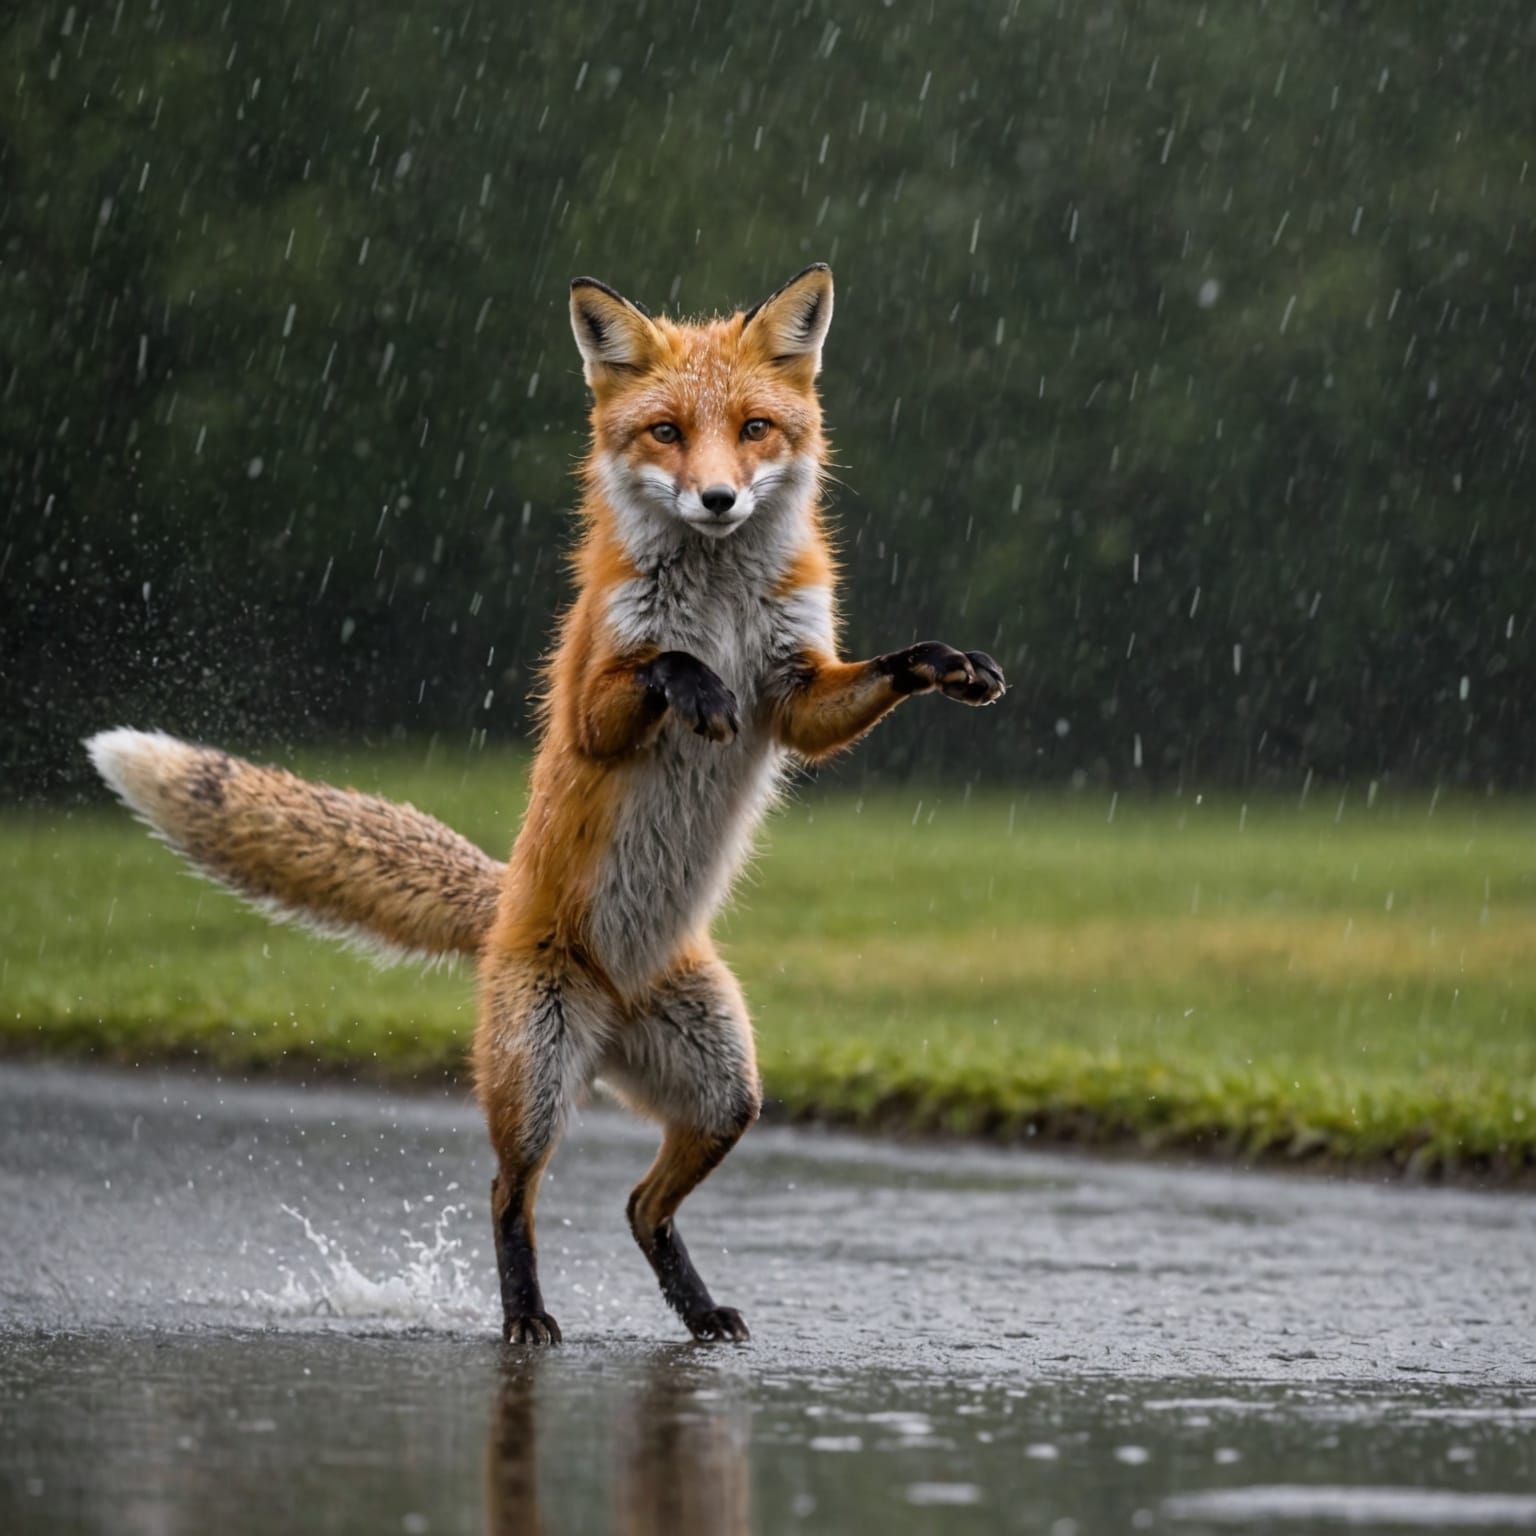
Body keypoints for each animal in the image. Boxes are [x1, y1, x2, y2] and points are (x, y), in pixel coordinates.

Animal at [86, 263, 1005, 1345]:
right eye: (666, 433)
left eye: (753, 428)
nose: (719, 498)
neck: (720, 598)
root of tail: (508, 911)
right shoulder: (593, 701)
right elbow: (658, 664)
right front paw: (697, 686)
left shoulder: (797, 692)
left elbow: (861, 683)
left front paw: (942, 664)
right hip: (537, 1083)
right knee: (506, 1196)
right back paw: (526, 1317)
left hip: (725, 1089)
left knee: (641, 1206)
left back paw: (699, 1312)